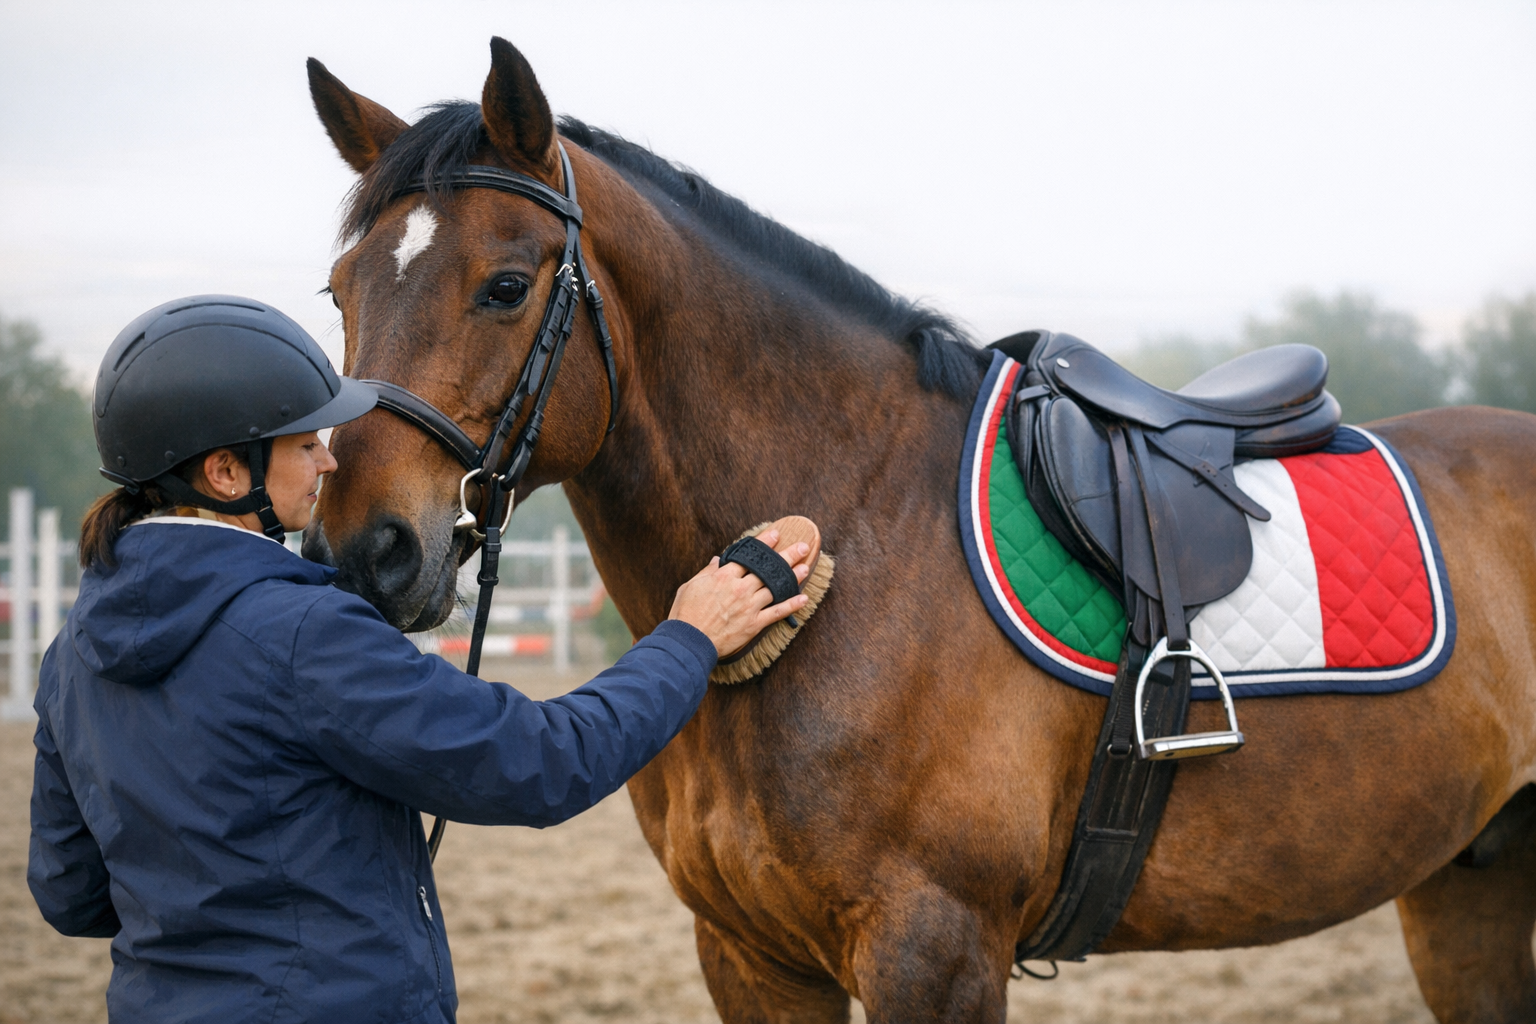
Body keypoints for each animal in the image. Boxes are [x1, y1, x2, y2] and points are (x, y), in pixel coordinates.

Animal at [302, 38, 1536, 1023]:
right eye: (339, 291)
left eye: (507, 285)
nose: (366, 549)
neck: (857, 533)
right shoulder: (752, 958)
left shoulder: (930, 951)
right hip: (1468, 884)